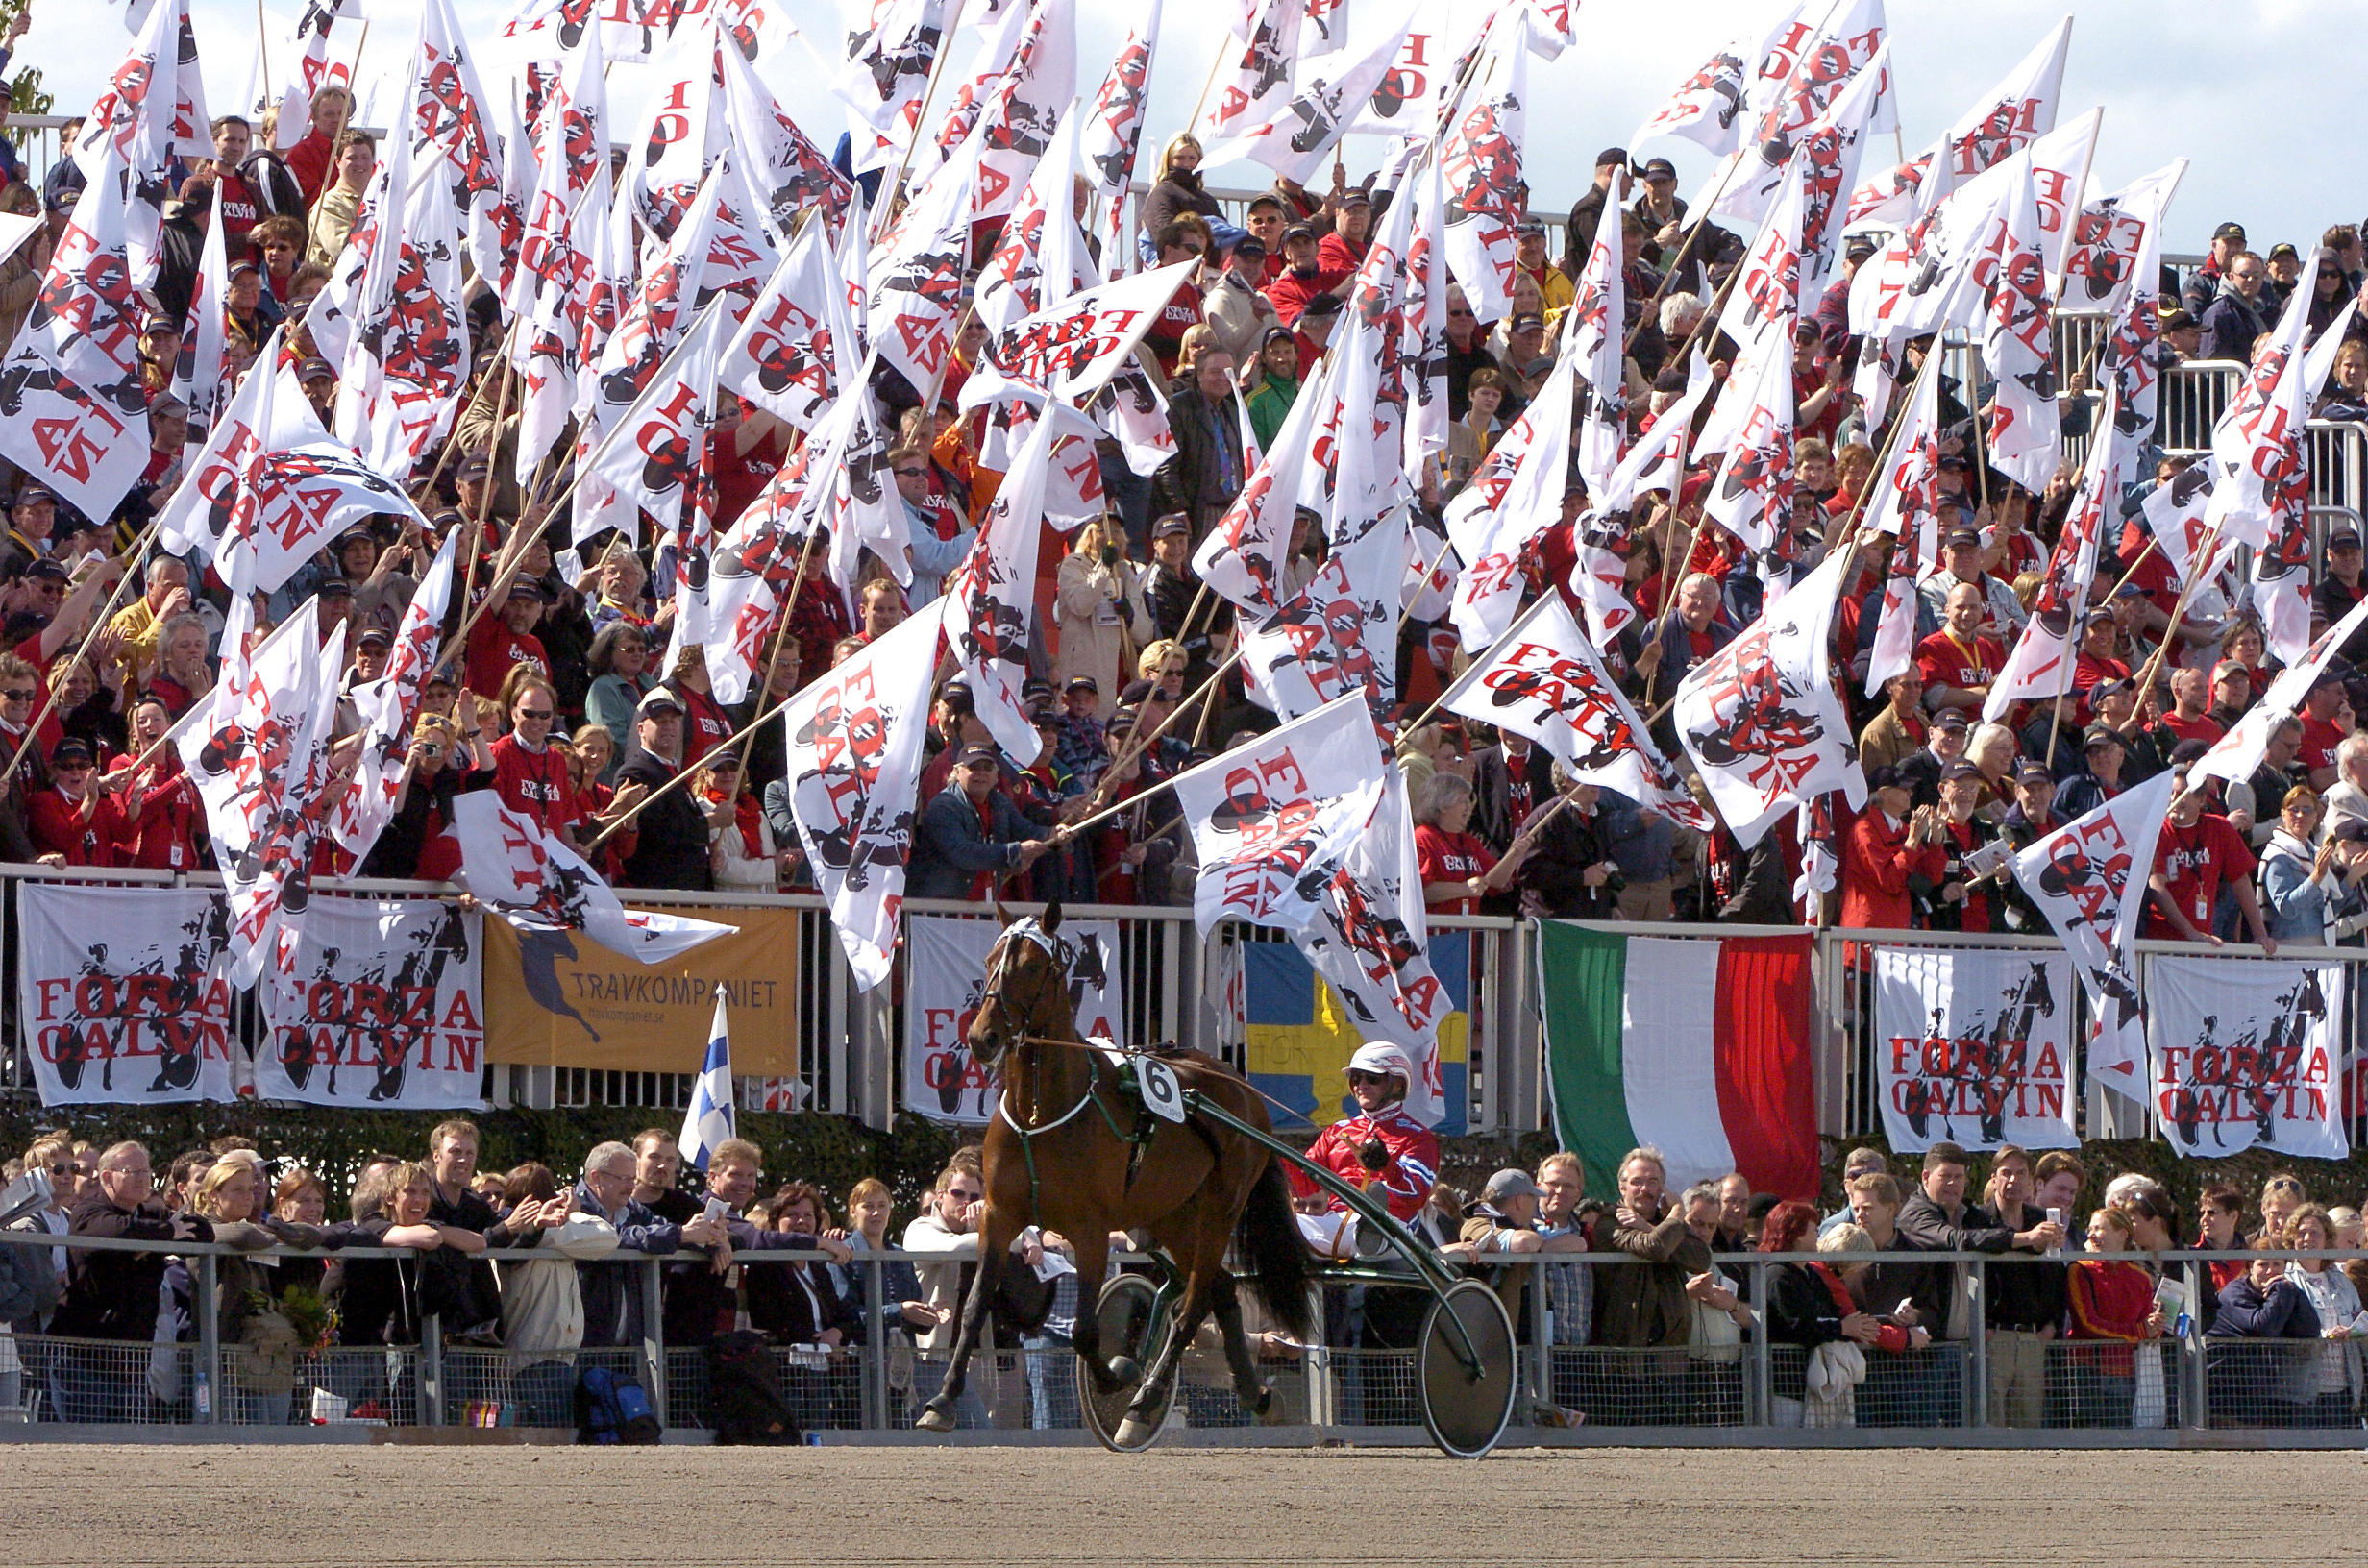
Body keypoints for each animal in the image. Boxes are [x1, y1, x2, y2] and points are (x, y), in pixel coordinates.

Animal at [909, 904, 1316, 1439]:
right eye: (991, 959)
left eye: (1033, 967)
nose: (982, 1037)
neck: (1040, 1113)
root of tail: (1240, 1086)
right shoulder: (998, 1216)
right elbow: (975, 1308)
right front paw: (943, 1398)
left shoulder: (1091, 1229)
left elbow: (1085, 1330)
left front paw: (1113, 1377)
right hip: (1175, 1216)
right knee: (1222, 1289)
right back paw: (1255, 1394)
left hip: (1220, 1211)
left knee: (1191, 1306)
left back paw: (1146, 1402)